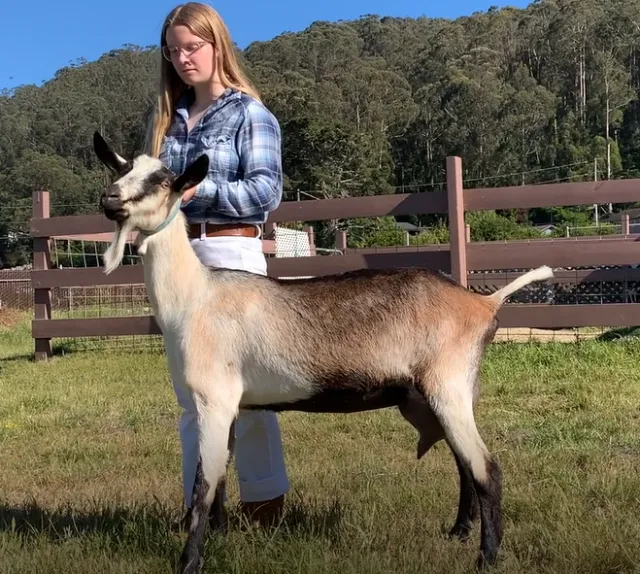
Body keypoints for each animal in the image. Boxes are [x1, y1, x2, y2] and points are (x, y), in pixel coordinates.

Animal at [92, 131, 554, 574]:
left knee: (486, 470)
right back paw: (458, 532)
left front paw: (189, 562)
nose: (109, 199)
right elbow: (220, 476)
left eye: (162, 181)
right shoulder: (227, 405)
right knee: (464, 464)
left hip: (448, 385)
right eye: (123, 169)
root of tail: (483, 303)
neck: (196, 297)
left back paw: (486, 557)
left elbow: (203, 484)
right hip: (439, 396)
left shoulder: (214, 398)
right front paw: (218, 539)